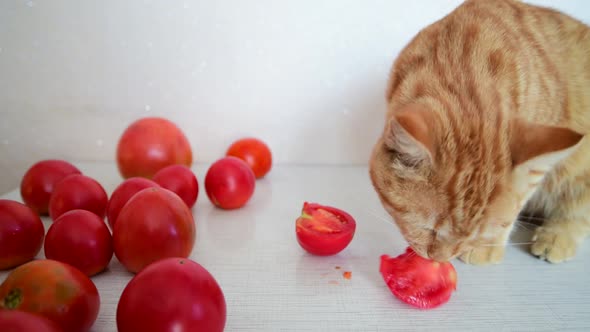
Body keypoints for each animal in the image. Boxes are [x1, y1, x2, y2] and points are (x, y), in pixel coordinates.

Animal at [372, 0, 588, 264]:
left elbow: (517, 202)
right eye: (429, 229)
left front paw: (487, 246)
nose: (440, 259)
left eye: (475, 234)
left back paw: (557, 236)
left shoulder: (536, 169)